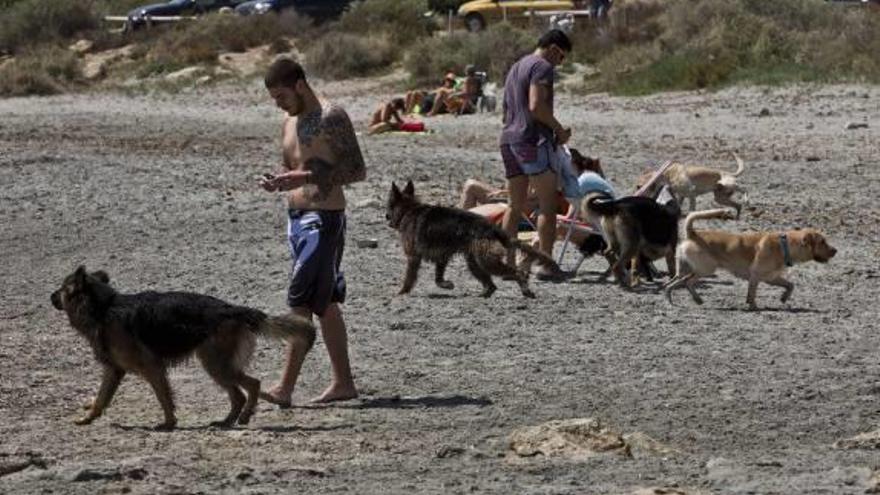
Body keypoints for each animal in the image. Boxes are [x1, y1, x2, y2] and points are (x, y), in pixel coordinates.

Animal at [668, 209, 840, 310]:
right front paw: (754, 306)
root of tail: (693, 234)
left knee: (673, 283)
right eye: (822, 242)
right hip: (706, 269)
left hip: (684, 270)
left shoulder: (771, 278)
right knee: (687, 282)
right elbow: (752, 294)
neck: (785, 245)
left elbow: (790, 285)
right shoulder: (756, 276)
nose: (835, 251)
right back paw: (695, 299)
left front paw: (784, 298)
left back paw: (672, 298)